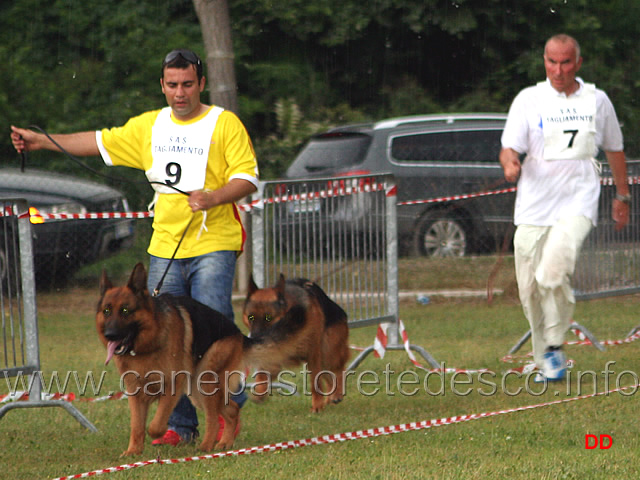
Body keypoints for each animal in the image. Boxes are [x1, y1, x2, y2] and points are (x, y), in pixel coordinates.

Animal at [96, 262, 296, 454]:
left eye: (125, 310)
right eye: (106, 311)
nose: (109, 335)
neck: (148, 342)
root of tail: (239, 334)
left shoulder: (173, 385)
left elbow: (156, 424)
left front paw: (156, 433)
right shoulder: (135, 393)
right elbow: (136, 426)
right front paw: (134, 451)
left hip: (205, 382)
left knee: (214, 418)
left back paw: (206, 446)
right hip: (196, 391)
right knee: (231, 410)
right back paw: (225, 442)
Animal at [242, 274, 350, 412]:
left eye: (268, 318)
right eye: (250, 317)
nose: (255, 341)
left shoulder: (313, 355)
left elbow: (315, 382)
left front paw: (317, 405)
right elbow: (262, 374)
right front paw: (260, 392)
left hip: (327, 352)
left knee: (339, 370)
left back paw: (336, 394)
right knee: (329, 376)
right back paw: (330, 398)